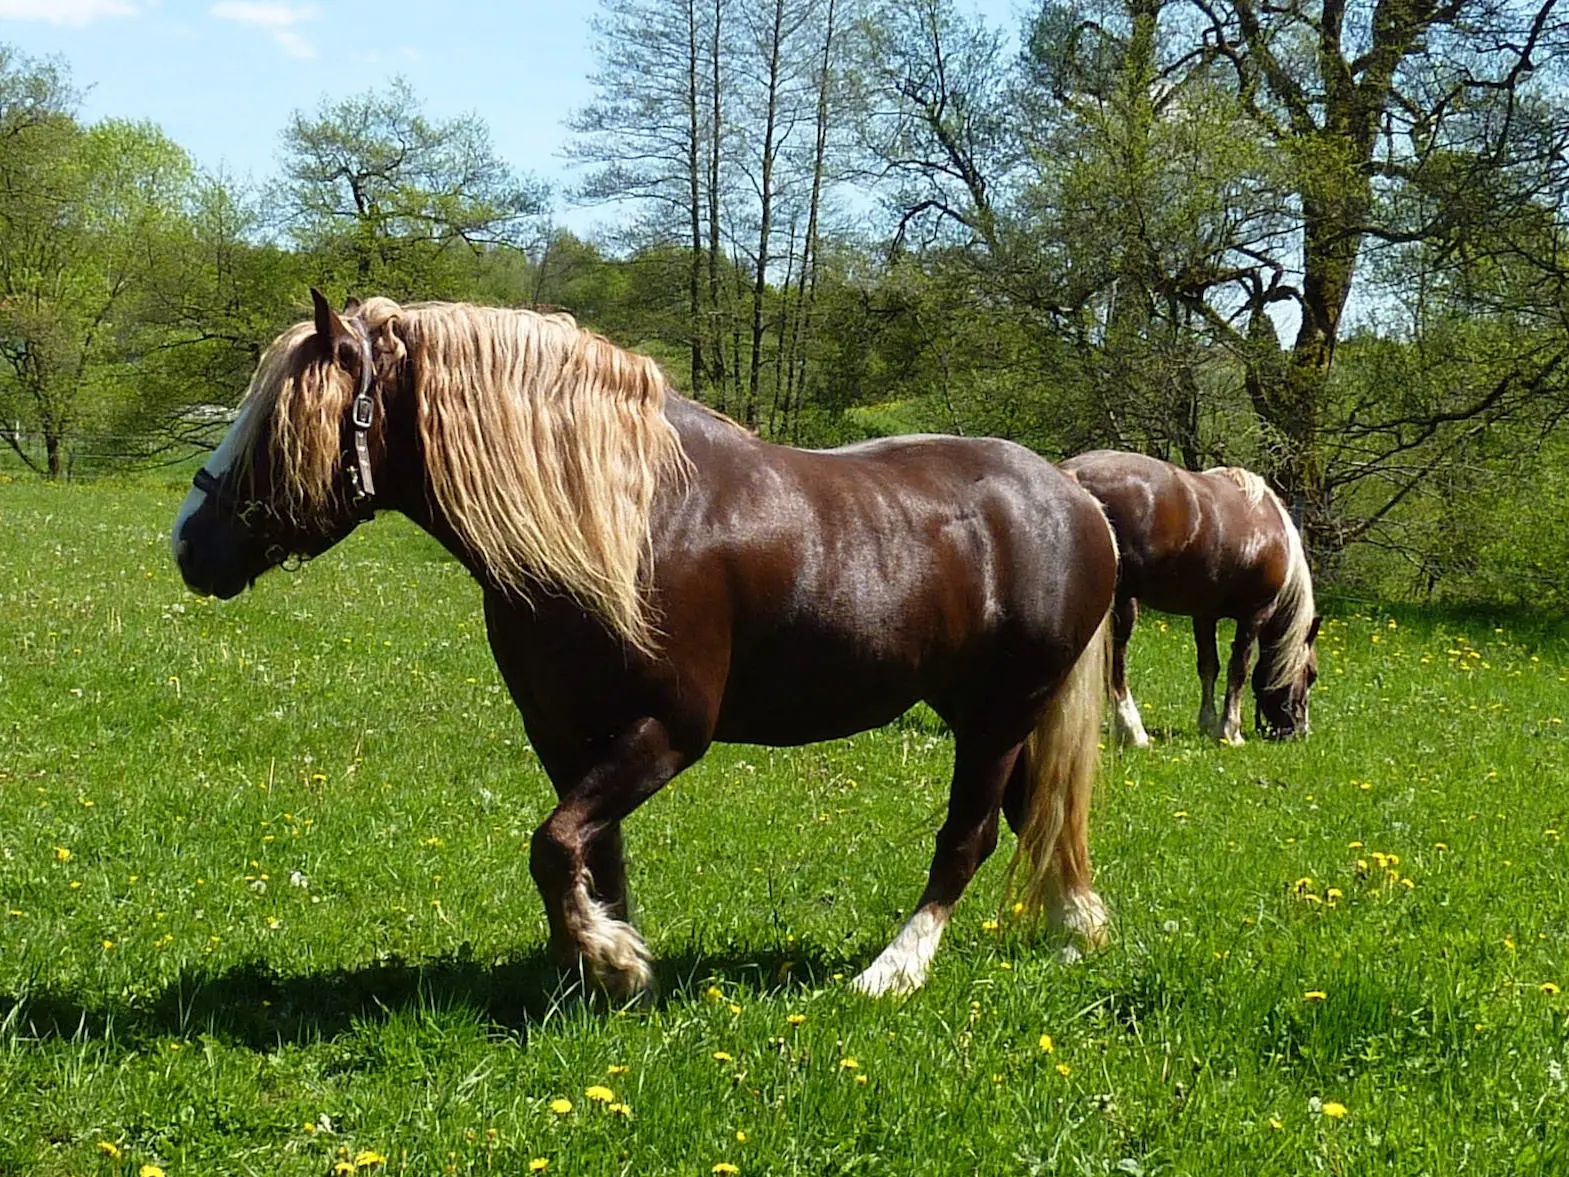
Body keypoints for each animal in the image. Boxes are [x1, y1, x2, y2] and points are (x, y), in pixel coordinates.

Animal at [171, 290, 1123, 998]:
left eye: (276, 424)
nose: (186, 543)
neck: (629, 524)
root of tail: (1072, 495)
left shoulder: (668, 731)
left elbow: (553, 844)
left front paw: (610, 958)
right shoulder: (565, 735)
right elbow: (590, 850)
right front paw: (609, 964)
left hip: (996, 715)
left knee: (969, 837)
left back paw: (892, 971)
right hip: (985, 713)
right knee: (1037, 814)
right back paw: (1077, 931)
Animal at [1060, 451, 1317, 747]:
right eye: (1311, 674)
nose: (1299, 732)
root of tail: (1072, 475)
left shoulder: (1204, 615)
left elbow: (1208, 665)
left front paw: (1207, 723)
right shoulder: (1255, 613)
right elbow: (1238, 669)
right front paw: (1230, 731)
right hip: (1122, 605)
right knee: (1115, 664)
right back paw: (1134, 732)